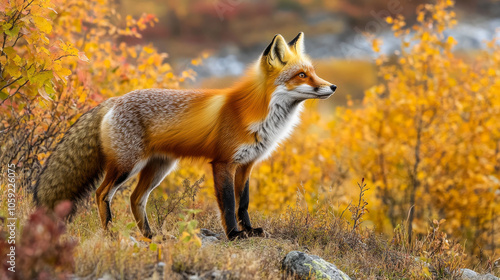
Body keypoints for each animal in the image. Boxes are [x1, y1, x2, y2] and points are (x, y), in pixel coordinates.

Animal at [34, 31, 336, 240]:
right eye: (301, 75)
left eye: (313, 72)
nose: (332, 87)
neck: (260, 114)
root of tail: (114, 100)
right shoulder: (223, 163)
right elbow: (228, 205)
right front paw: (234, 235)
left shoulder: (247, 164)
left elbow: (244, 204)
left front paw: (249, 231)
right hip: (126, 166)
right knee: (101, 194)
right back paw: (111, 234)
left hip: (158, 168)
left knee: (135, 199)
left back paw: (151, 237)